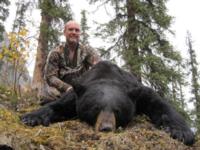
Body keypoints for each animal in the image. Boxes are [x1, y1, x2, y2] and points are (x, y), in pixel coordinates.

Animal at [21, 60, 195, 145]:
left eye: (117, 110)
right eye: (95, 108)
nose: (106, 128)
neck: (107, 76)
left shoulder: (137, 92)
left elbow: (159, 103)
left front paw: (181, 132)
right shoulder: (77, 94)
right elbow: (59, 105)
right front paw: (31, 117)